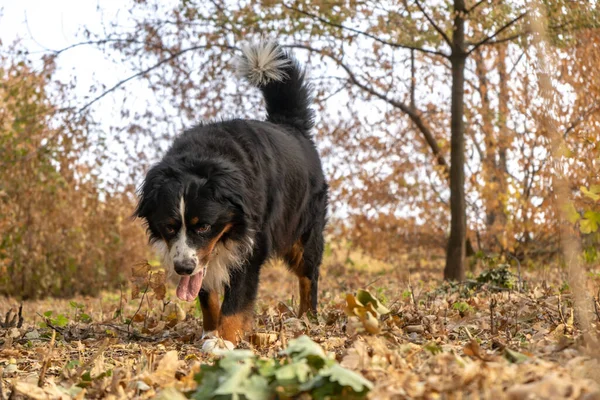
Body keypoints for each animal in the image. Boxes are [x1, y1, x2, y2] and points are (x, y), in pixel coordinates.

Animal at [134, 42, 328, 346]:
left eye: (203, 226)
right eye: (169, 227)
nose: (182, 268)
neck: (203, 158)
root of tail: (291, 127)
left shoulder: (252, 244)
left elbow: (236, 299)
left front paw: (224, 341)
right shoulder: (202, 254)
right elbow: (205, 291)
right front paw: (210, 332)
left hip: (304, 231)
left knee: (309, 276)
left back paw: (307, 318)